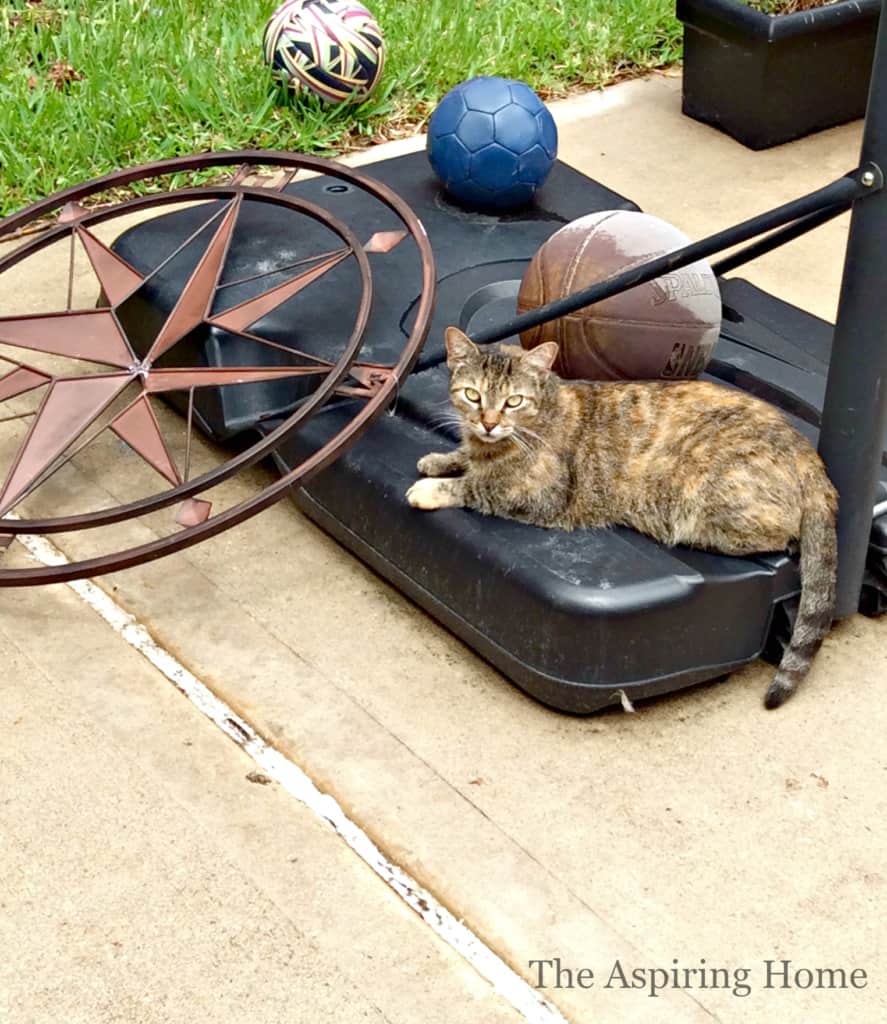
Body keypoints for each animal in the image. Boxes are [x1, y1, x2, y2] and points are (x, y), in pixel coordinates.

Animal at [407, 325, 835, 704]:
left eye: (514, 401)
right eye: (472, 395)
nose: (489, 423)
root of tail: (808, 455)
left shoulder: (538, 495)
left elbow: (475, 487)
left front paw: (433, 488)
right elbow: (465, 460)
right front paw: (442, 458)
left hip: (707, 497)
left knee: (779, 536)